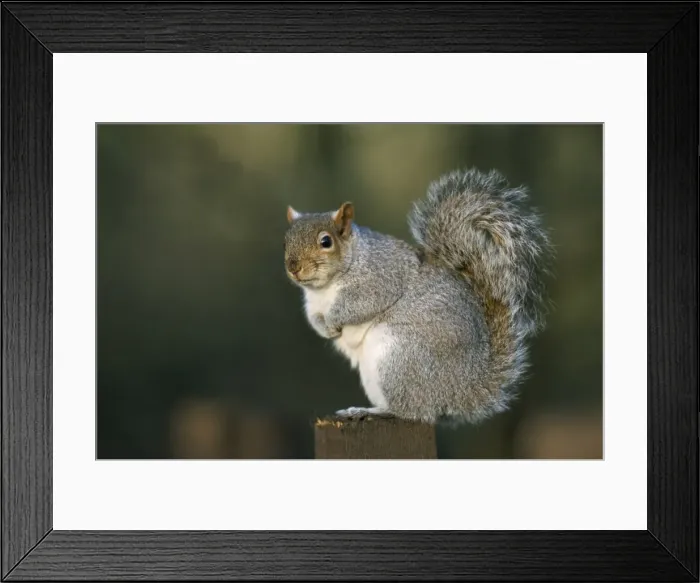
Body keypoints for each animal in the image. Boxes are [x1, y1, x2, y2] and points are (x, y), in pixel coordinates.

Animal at [283, 167, 554, 426]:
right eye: (286, 240)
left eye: (326, 241)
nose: (293, 267)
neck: (324, 288)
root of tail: (462, 390)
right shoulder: (312, 303)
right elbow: (313, 318)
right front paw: (324, 328)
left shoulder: (380, 279)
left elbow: (359, 304)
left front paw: (333, 321)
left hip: (399, 358)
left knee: (413, 412)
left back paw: (369, 411)